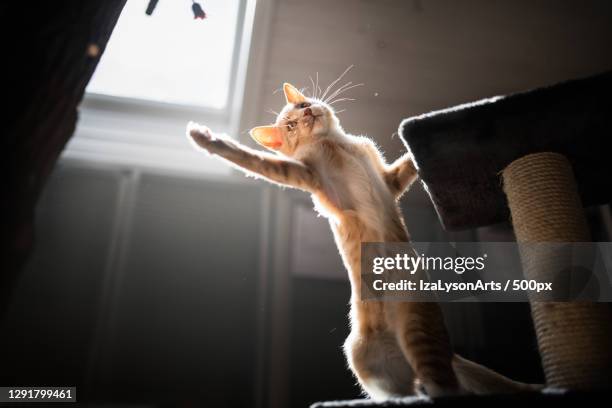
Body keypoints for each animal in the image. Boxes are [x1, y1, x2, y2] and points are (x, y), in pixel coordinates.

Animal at [186, 79, 536, 398]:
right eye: (291, 125)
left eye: (302, 106)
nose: (308, 113)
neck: (337, 144)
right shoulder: (309, 176)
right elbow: (256, 161)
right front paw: (207, 140)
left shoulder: (389, 181)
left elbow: (407, 163)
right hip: (366, 360)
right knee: (419, 390)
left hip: (417, 327)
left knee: (441, 384)